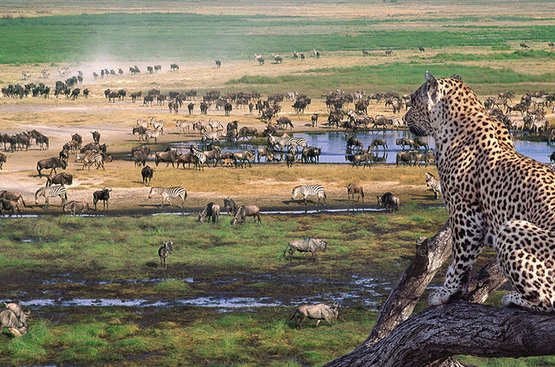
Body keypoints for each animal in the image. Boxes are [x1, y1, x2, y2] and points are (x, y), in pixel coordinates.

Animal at [404, 73, 555, 312]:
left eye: (413, 100)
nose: (404, 117)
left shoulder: (465, 214)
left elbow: (460, 259)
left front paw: (447, 292)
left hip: (511, 228)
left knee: (549, 300)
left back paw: (514, 298)